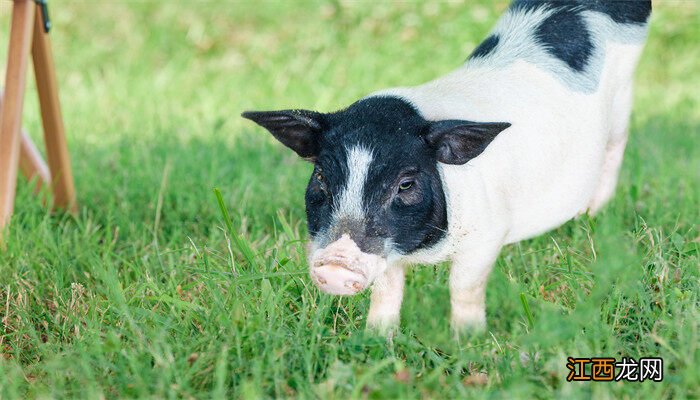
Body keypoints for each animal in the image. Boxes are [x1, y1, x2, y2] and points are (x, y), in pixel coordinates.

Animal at [243, 1, 652, 332]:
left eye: (406, 184)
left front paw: (467, 340)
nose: (335, 266)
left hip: (623, 102)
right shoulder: (389, 253)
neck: (424, 251)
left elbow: (463, 287)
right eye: (321, 177)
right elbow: (388, 289)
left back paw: (591, 217)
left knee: (615, 149)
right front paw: (377, 338)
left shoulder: (487, 233)